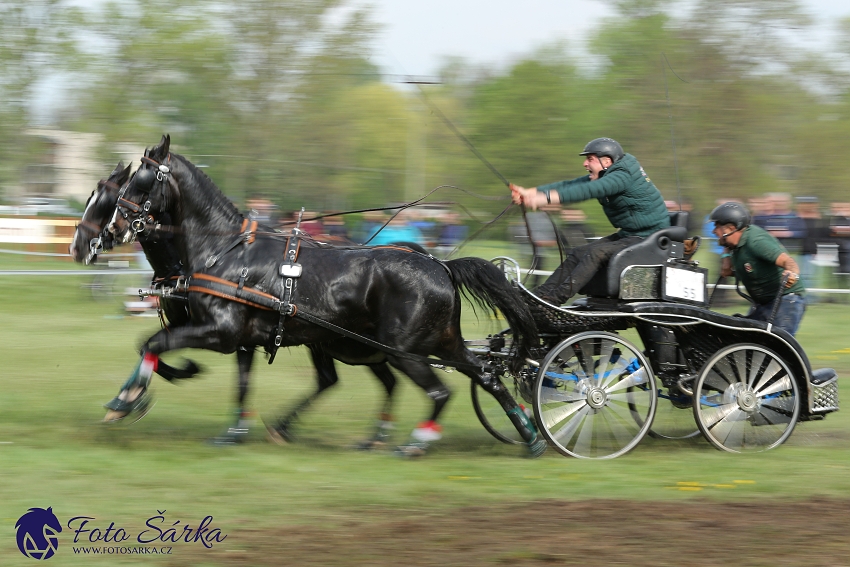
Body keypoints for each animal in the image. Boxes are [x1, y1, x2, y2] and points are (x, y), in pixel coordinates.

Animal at [69, 162, 408, 446]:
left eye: (109, 202)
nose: (78, 247)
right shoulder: (225, 333)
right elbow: (153, 347)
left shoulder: (221, 331)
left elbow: (155, 345)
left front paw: (143, 393)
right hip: (339, 344)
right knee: (358, 380)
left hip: (345, 344)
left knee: (364, 378)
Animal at [107, 136, 544, 458]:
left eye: (142, 181)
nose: (112, 228)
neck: (226, 252)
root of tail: (441, 265)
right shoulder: (242, 339)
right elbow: (232, 378)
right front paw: (230, 429)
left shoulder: (221, 332)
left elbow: (154, 342)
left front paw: (127, 399)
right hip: (433, 343)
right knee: (486, 376)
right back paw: (530, 436)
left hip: (403, 350)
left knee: (439, 391)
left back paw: (417, 442)